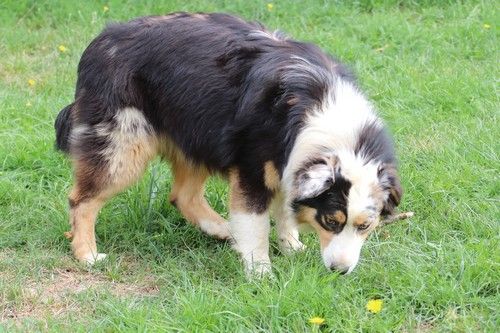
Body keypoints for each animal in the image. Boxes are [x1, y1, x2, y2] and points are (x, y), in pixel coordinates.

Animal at [54, 12, 402, 274]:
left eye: (365, 226)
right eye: (331, 221)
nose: (339, 271)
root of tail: (100, 40)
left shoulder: (287, 164)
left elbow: (284, 209)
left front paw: (291, 247)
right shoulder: (253, 166)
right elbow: (256, 223)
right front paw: (260, 272)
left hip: (195, 131)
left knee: (182, 195)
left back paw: (223, 229)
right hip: (123, 144)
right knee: (81, 199)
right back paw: (87, 254)